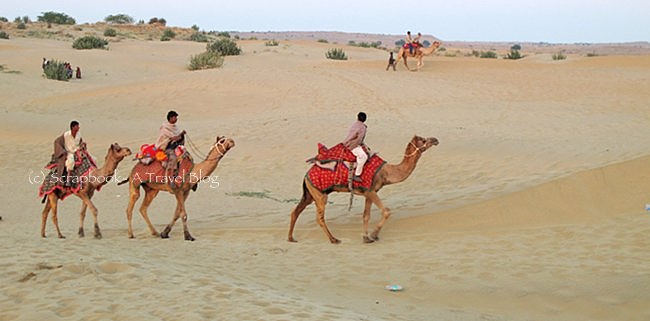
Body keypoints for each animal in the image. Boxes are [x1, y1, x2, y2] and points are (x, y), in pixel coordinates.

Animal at [288, 134, 436, 242]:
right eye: (423, 140)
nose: (435, 140)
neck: (385, 172)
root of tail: (306, 175)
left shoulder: (368, 192)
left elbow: (366, 215)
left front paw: (366, 237)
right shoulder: (370, 191)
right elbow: (386, 212)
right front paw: (374, 235)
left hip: (310, 193)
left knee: (296, 211)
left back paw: (291, 238)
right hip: (320, 195)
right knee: (319, 217)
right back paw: (334, 239)